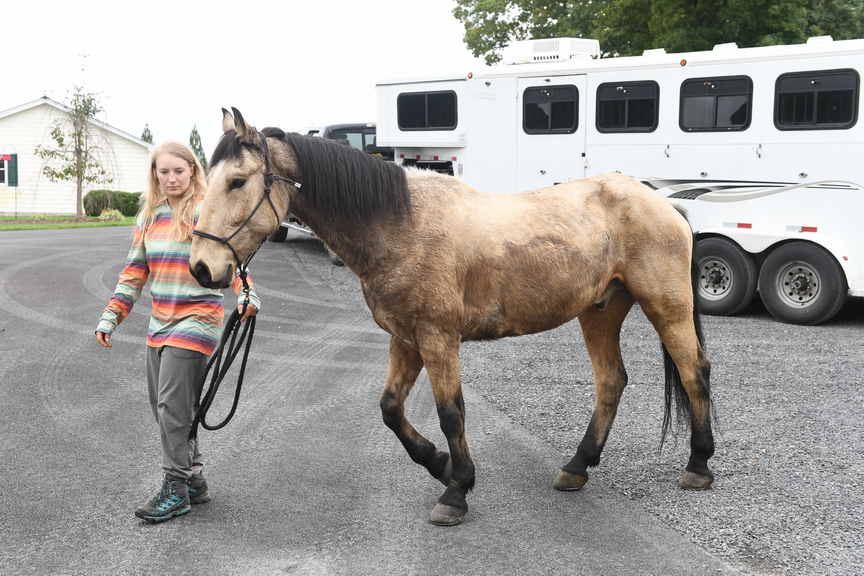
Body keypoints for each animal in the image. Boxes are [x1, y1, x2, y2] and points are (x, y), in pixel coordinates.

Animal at [189, 108, 714, 526]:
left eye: (237, 181)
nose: (202, 267)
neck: (400, 224)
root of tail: (665, 203)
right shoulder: (405, 338)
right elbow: (390, 409)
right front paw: (439, 465)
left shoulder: (438, 337)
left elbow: (450, 412)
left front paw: (457, 490)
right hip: (600, 311)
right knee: (611, 381)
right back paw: (577, 467)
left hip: (666, 305)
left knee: (694, 373)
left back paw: (698, 466)